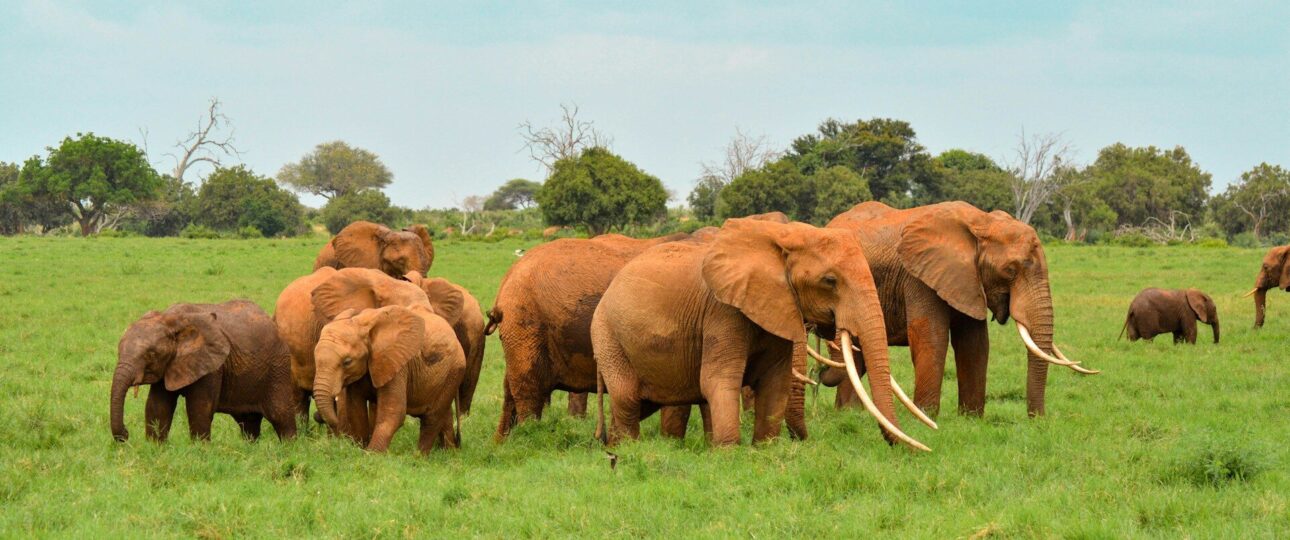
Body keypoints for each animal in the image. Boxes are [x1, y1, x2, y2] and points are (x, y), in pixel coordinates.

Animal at [110, 300, 298, 443]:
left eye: (151, 354)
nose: (126, 434)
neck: (170, 319)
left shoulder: (212, 366)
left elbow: (200, 408)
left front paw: (200, 451)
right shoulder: (170, 365)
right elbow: (157, 407)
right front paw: (155, 448)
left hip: (278, 366)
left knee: (280, 415)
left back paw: (289, 449)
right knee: (248, 421)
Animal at [313, 304, 465, 453]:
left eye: (347, 362)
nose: (318, 416)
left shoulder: (396, 364)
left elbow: (393, 411)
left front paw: (372, 454)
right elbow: (355, 410)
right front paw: (359, 449)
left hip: (454, 371)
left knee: (432, 417)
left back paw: (419, 457)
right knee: (443, 414)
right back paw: (448, 452)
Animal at [591, 218, 930, 449]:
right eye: (830, 281)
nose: (913, 451)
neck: (780, 239)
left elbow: (775, 382)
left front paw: (764, 449)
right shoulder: (722, 310)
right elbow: (718, 379)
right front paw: (728, 453)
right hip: (607, 335)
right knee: (627, 397)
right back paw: (628, 450)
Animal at [818, 201, 1097, 419]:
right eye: (1010, 271)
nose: (1037, 419)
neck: (982, 222)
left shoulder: (967, 280)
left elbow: (974, 343)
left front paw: (971, 418)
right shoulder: (918, 276)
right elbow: (932, 337)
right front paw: (926, 416)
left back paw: (850, 413)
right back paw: (849, 413)